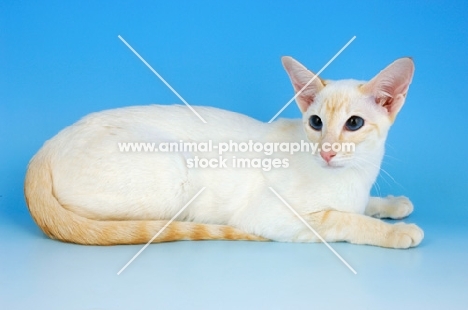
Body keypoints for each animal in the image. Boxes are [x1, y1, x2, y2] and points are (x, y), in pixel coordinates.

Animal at [22, 56, 424, 249]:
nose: (326, 152)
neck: (355, 176)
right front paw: (397, 232)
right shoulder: (278, 217)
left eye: (353, 124)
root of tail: (46, 147)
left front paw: (393, 204)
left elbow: (362, 206)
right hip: (175, 172)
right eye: (315, 123)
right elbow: (345, 219)